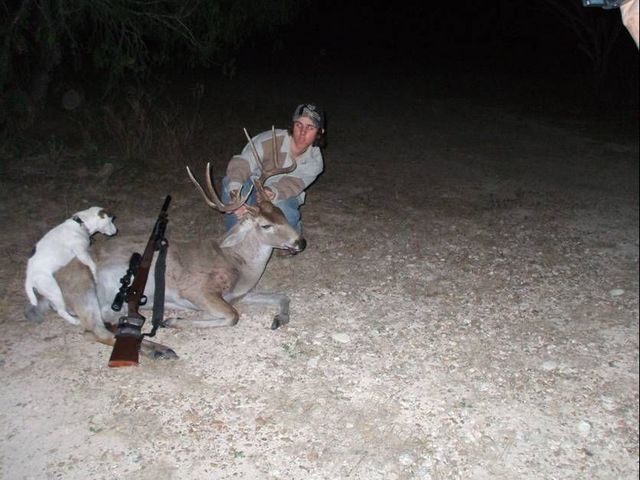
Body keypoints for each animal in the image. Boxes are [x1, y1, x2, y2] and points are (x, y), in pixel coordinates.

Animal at [28, 127, 307, 360]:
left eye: (281, 214)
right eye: (265, 225)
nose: (301, 242)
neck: (239, 264)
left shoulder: (241, 293)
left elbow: (282, 296)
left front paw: (279, 319)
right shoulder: (196, 290)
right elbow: (232, 316)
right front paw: (173, 321)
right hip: (84, 290)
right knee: (94, 331)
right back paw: (160, 349)